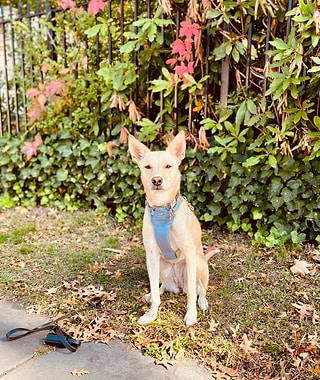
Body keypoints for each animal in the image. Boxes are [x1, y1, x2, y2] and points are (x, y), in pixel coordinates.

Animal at [129, 131, 216, 326]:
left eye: (168, 166)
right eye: (147, 167)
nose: (156, 180)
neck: (162, 209)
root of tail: (177, 285)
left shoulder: (190, 253)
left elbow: (191, 294)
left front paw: (191, 314)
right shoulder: (151, 254)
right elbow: (155, 293)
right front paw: (151, 314)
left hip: (199, 263)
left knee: (199, 289)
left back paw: (202, 301)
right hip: (159, 266)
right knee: (160, 287)